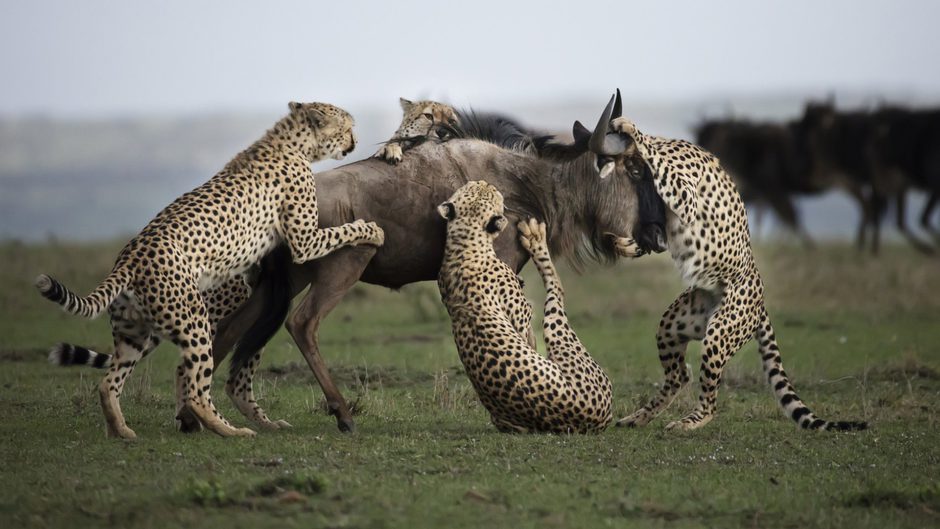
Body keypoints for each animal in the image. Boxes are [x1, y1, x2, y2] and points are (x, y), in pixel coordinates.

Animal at [35, 101, 384, 440]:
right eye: (346, 127)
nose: (355, 140)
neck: (292, 142)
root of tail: (129, 257)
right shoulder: (304, 241)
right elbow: (342, 231)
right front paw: (372, 230)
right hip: (194, 323)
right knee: (195, 391)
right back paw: (231, 430)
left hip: (133, 334)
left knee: (109, 383)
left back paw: (121, 431)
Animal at [436, 179, 612, 432]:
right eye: (490, 192)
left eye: (474, 187)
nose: (484, 181)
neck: (465, 239)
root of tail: (598, 419)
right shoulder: (521, 314)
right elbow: (527, 332)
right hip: (561, 334)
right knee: (557, 288)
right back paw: (536, 238)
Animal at [604, 115, 868, 428]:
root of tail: (761, 301)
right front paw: (626, 244)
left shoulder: (685, 199)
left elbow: (655, 160)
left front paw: (629, 128)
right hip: (674, 325)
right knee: (681, 374)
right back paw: (638, 417)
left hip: (719, 332)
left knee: (708, 400)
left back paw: (689, 422)